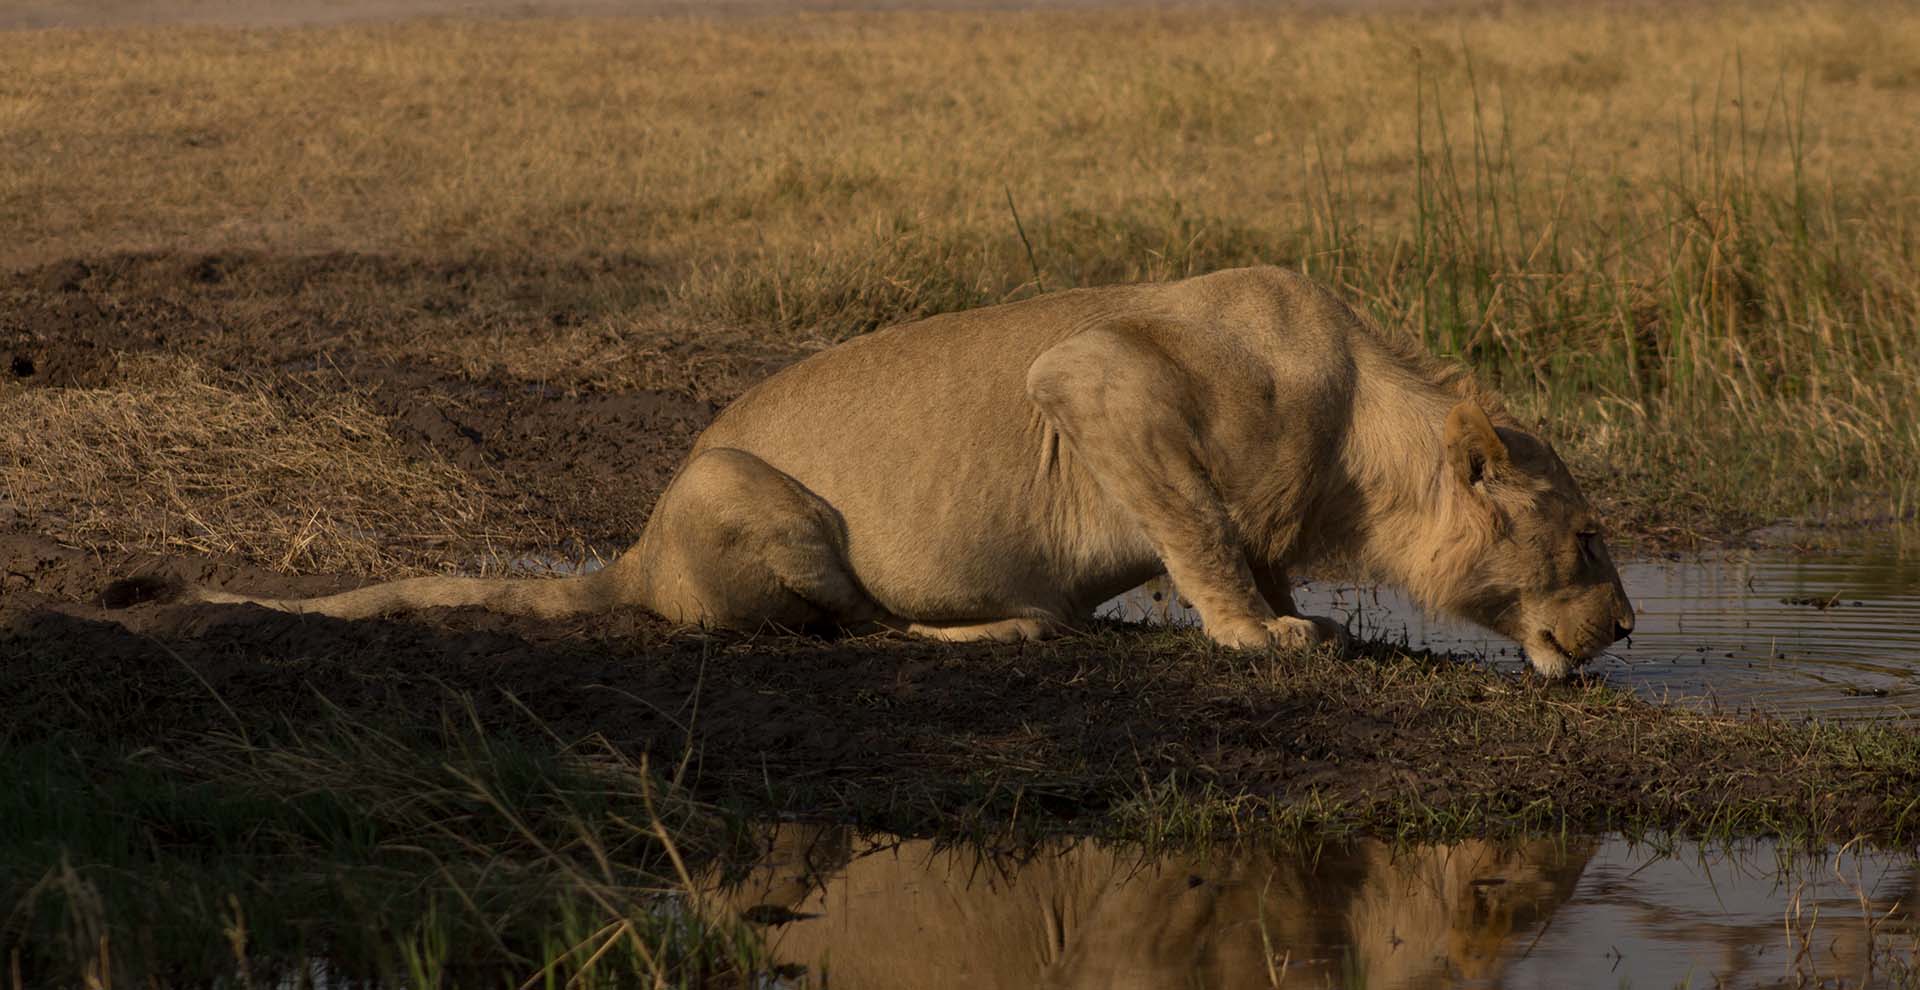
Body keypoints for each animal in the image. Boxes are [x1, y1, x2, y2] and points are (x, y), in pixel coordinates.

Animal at [197, 266, 1634, 678]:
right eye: (1590, 541)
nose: (1625, 627)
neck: (1365, 456)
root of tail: (634, 555)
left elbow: (1242, 538)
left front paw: (1298, 612)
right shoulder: (1093, 378)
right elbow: (1200, 531)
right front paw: (1263, 635)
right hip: (742, 489)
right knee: (864, 626)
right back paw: (1021, 623)